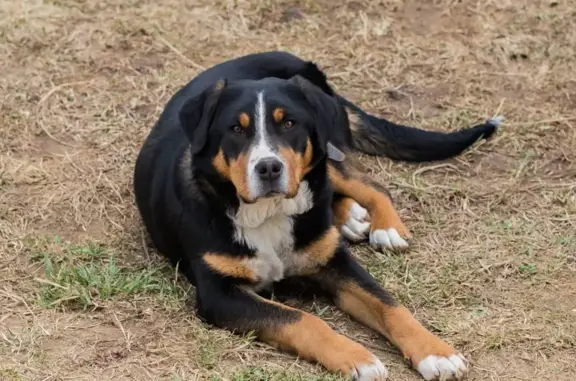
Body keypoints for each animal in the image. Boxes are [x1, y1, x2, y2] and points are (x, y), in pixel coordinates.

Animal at [133, 51, 502, 380]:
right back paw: (351, 217)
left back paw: (385, 227)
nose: (269, 167)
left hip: (328, 150)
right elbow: (302, 319)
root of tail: (291, 57)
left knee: (372, 185)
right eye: (236, 130)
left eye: (289, 123)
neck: (269, 214)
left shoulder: (338, 264)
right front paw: (358, 358)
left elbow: (389, 305)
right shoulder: (220, 293)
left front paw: (436, 353)